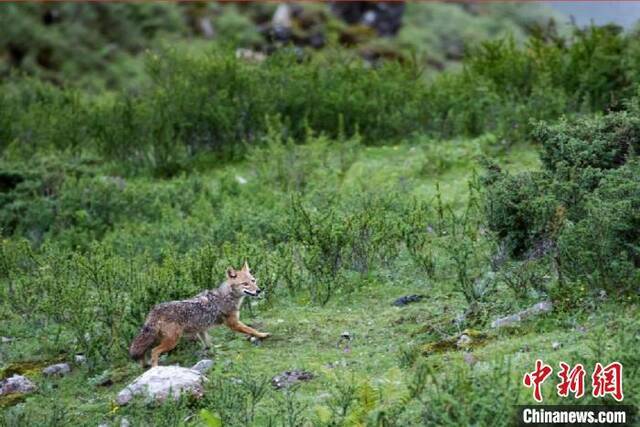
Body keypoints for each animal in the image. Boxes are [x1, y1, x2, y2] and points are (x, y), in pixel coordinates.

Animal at [130, 260, 270, 368]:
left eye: (253, 280)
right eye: (245, 284)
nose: (258, 290)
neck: (227, 295)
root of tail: (154, 310)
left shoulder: (201, 329)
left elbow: (208, 343)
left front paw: (212, 351)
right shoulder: (233, 323)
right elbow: (251, 330)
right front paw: (263, 334)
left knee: (143, 354)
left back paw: (145, 365)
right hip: (172, 341)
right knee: (154, 352)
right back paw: (155, 369)